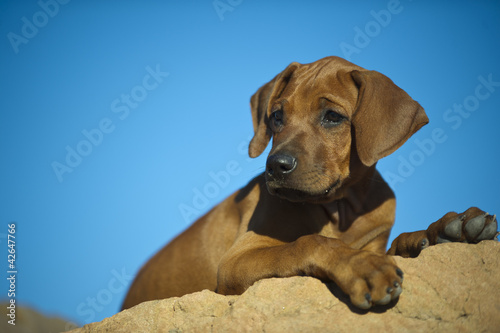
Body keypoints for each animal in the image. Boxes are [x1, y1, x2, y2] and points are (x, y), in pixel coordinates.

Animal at [120, 56, 496, 308]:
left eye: (332, 117)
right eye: (276, 116)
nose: (275, 166)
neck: (340, 208)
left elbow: (399, 242)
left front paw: (449, 228)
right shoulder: (236, 260)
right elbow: (308, 242)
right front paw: (360, 266)